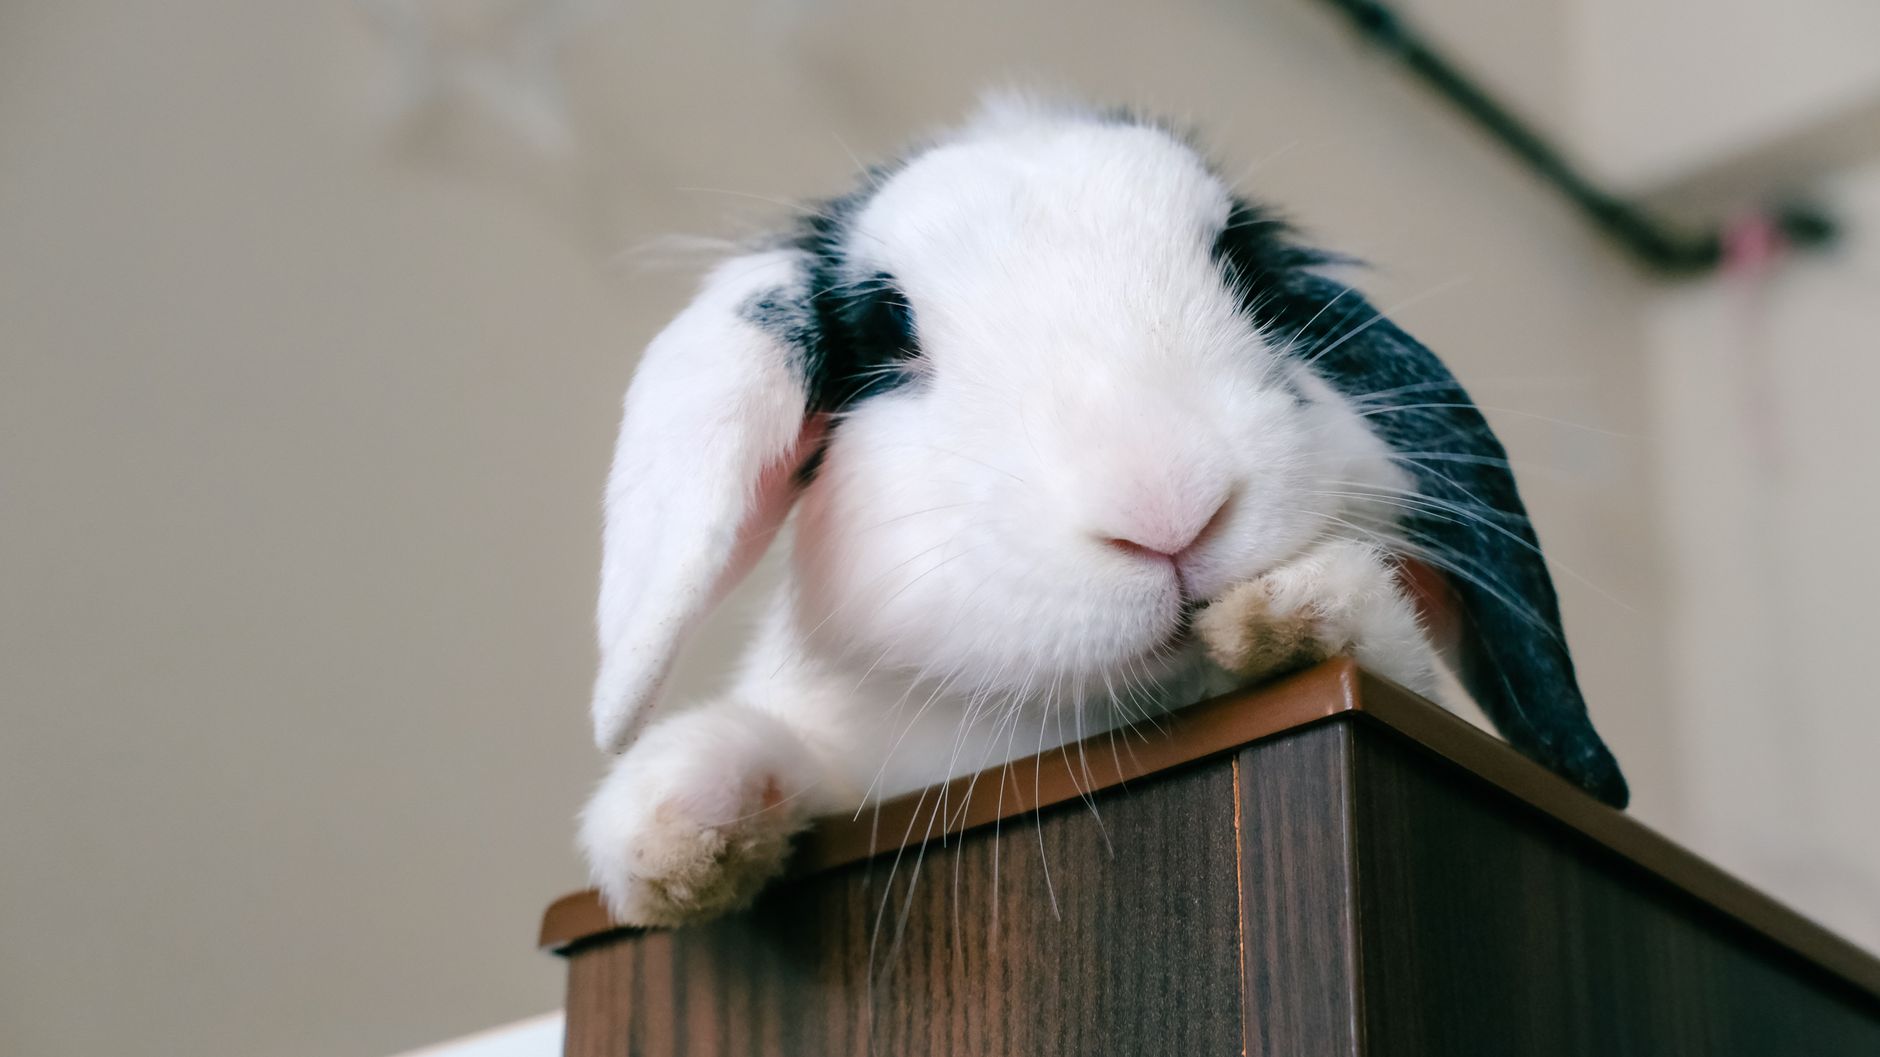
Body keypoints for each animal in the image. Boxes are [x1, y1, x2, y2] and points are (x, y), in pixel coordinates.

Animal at [578, 99, 1628, 926]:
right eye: (887, 329)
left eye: (1244, 268)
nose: (1170, 507)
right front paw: (674, 827)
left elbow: (1386, 651)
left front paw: (1297, 613)